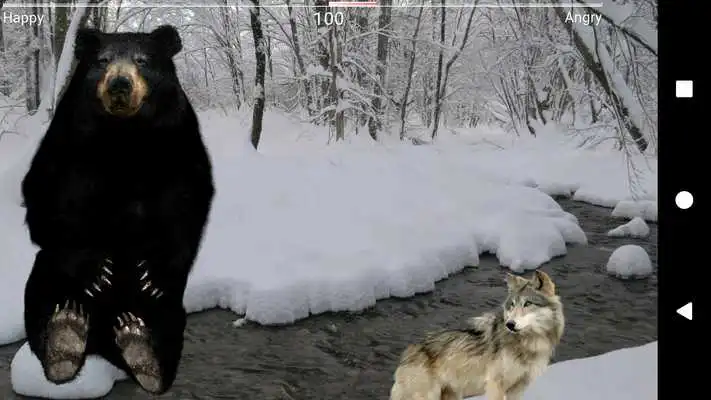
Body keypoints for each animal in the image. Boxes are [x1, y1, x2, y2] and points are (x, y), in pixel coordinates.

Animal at [21, 25, 214, 395]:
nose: (120, 84)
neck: (124, 135)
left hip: (169, 306)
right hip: (47, 276)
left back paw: (142, 351)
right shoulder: (65, 143)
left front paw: (153, 272)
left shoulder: (180, 141)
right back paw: (64, 338)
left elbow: (191, 201)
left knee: (168, 323)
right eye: (103, 60)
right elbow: (42, 196)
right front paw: (96, 268)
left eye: (142, 60)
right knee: (42, 293)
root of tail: (103, 346)